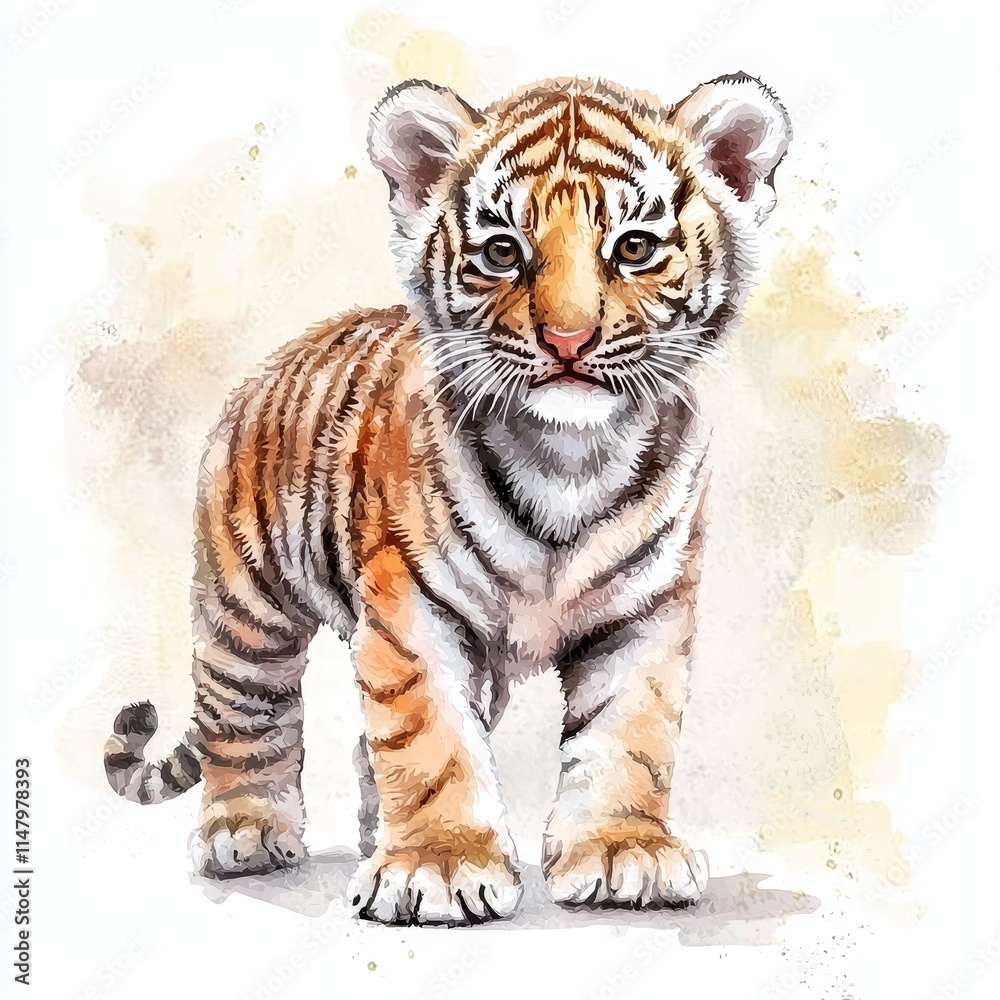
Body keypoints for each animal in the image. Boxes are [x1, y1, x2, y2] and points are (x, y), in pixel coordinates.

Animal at [104, 72, 790, 925]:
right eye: (502, 251)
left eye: (633, 247)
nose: (569, 342)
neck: (570, 456)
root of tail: (277, 360)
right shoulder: (411, 606)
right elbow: (428, 736)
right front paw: (437, 865)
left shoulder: (647, 608)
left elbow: (629, 733)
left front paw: (624, 851)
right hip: (245, 607)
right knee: (247, 717)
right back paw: (247, 833)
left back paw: (370, 836)